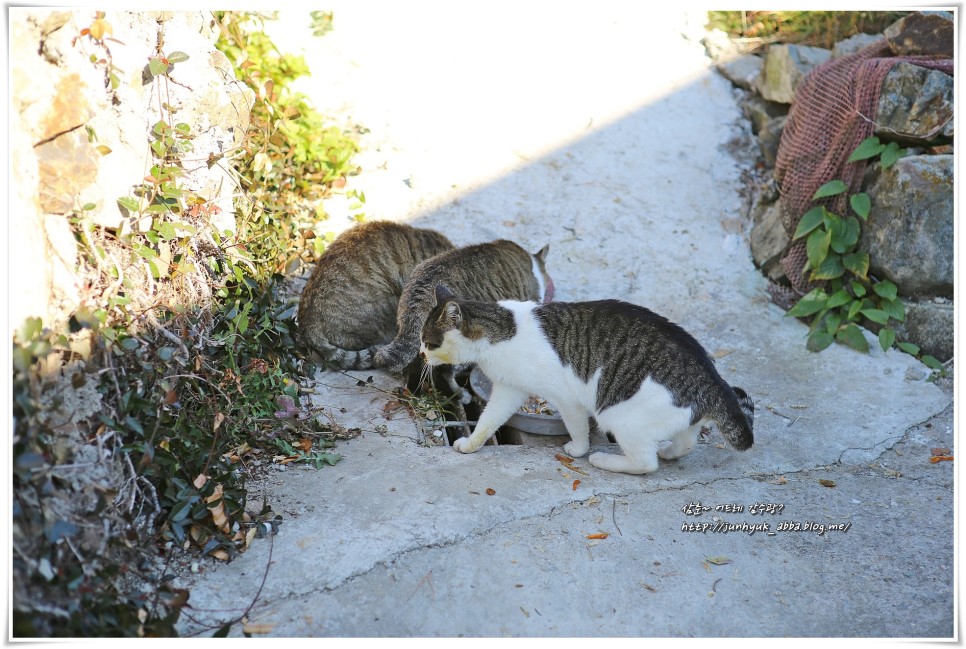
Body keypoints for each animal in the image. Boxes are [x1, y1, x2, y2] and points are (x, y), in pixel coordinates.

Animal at [420, 284, 752, 476]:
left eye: (429, 342)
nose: (421, 355)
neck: (501, 332)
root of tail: (714, 383)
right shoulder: (509, 390)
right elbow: (488, 421)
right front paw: (471, 444)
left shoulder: (566, 399)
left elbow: (577, 427)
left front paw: (578, 450)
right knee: (685, 443)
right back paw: (669, 451)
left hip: (620, 416)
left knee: (646, 464)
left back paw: (605, 461)